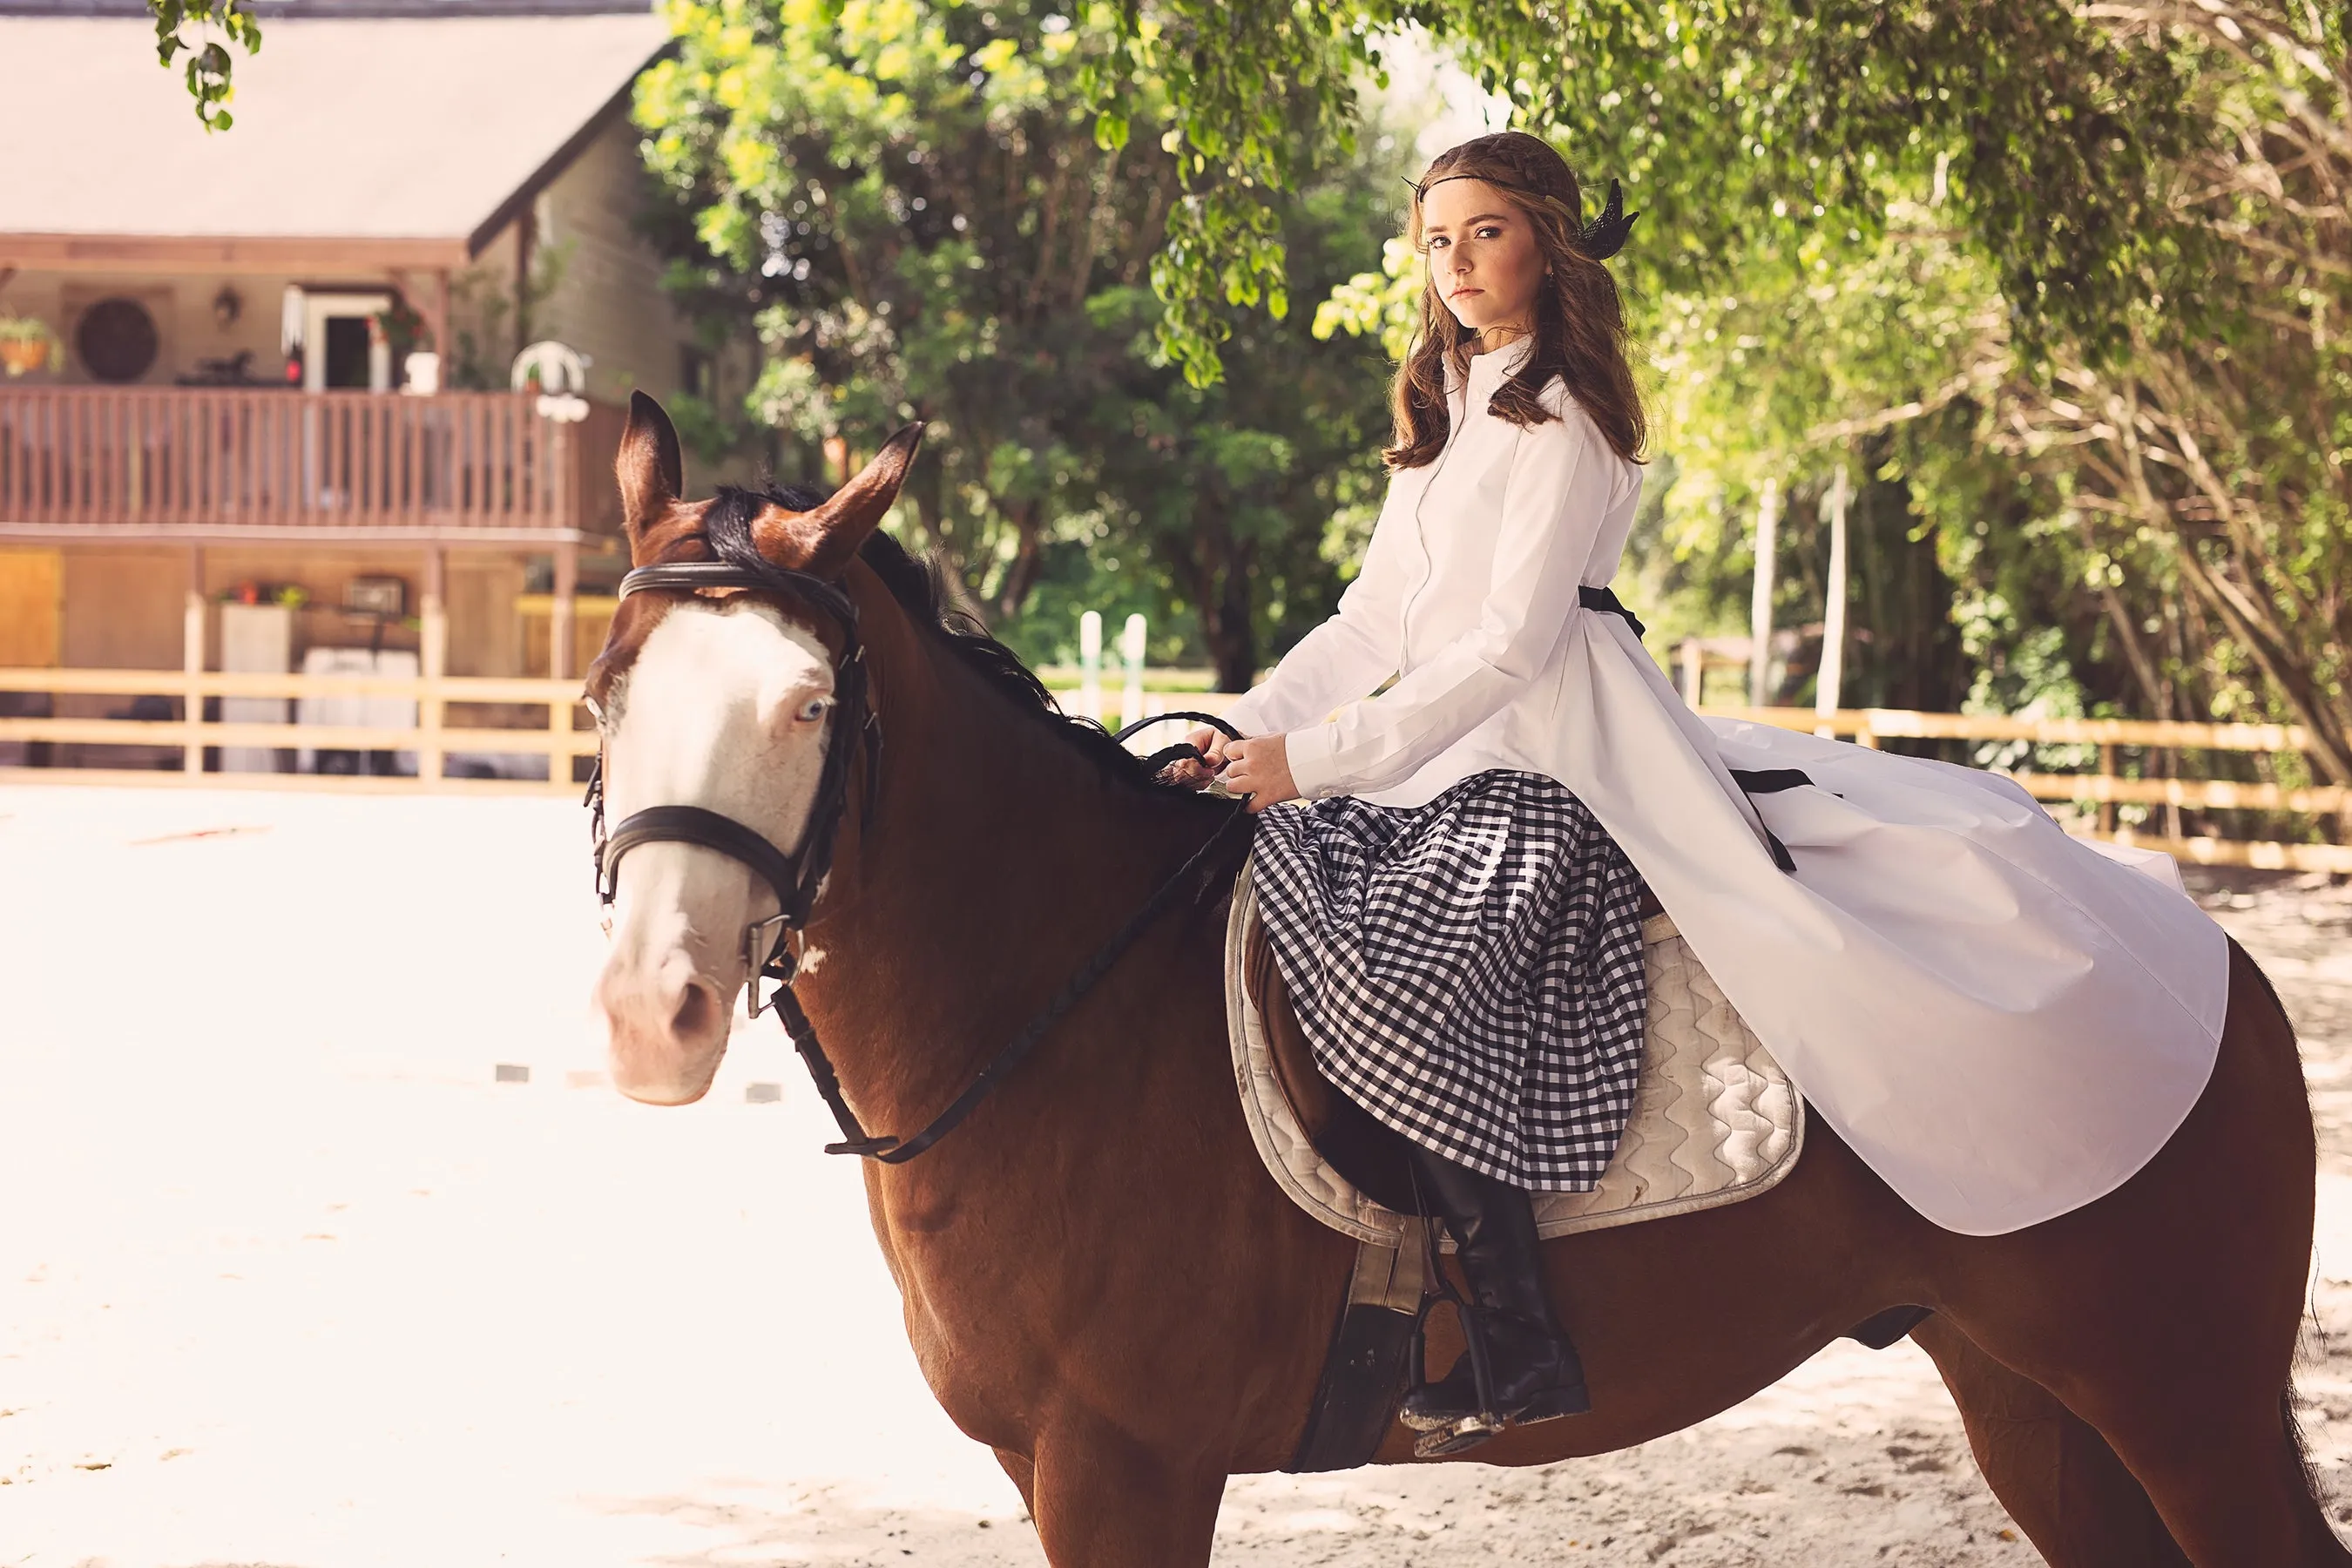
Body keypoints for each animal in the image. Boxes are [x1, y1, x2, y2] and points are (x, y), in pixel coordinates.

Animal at [588, 392, 2352, 1568]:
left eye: (812, 708)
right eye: (609, 692)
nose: (651, 1019)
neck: (1061, 1013)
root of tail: (2215, 963)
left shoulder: (1120, 1468)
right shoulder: (1051, 1466)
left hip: (2180, 1399)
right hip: (2032, 1395)